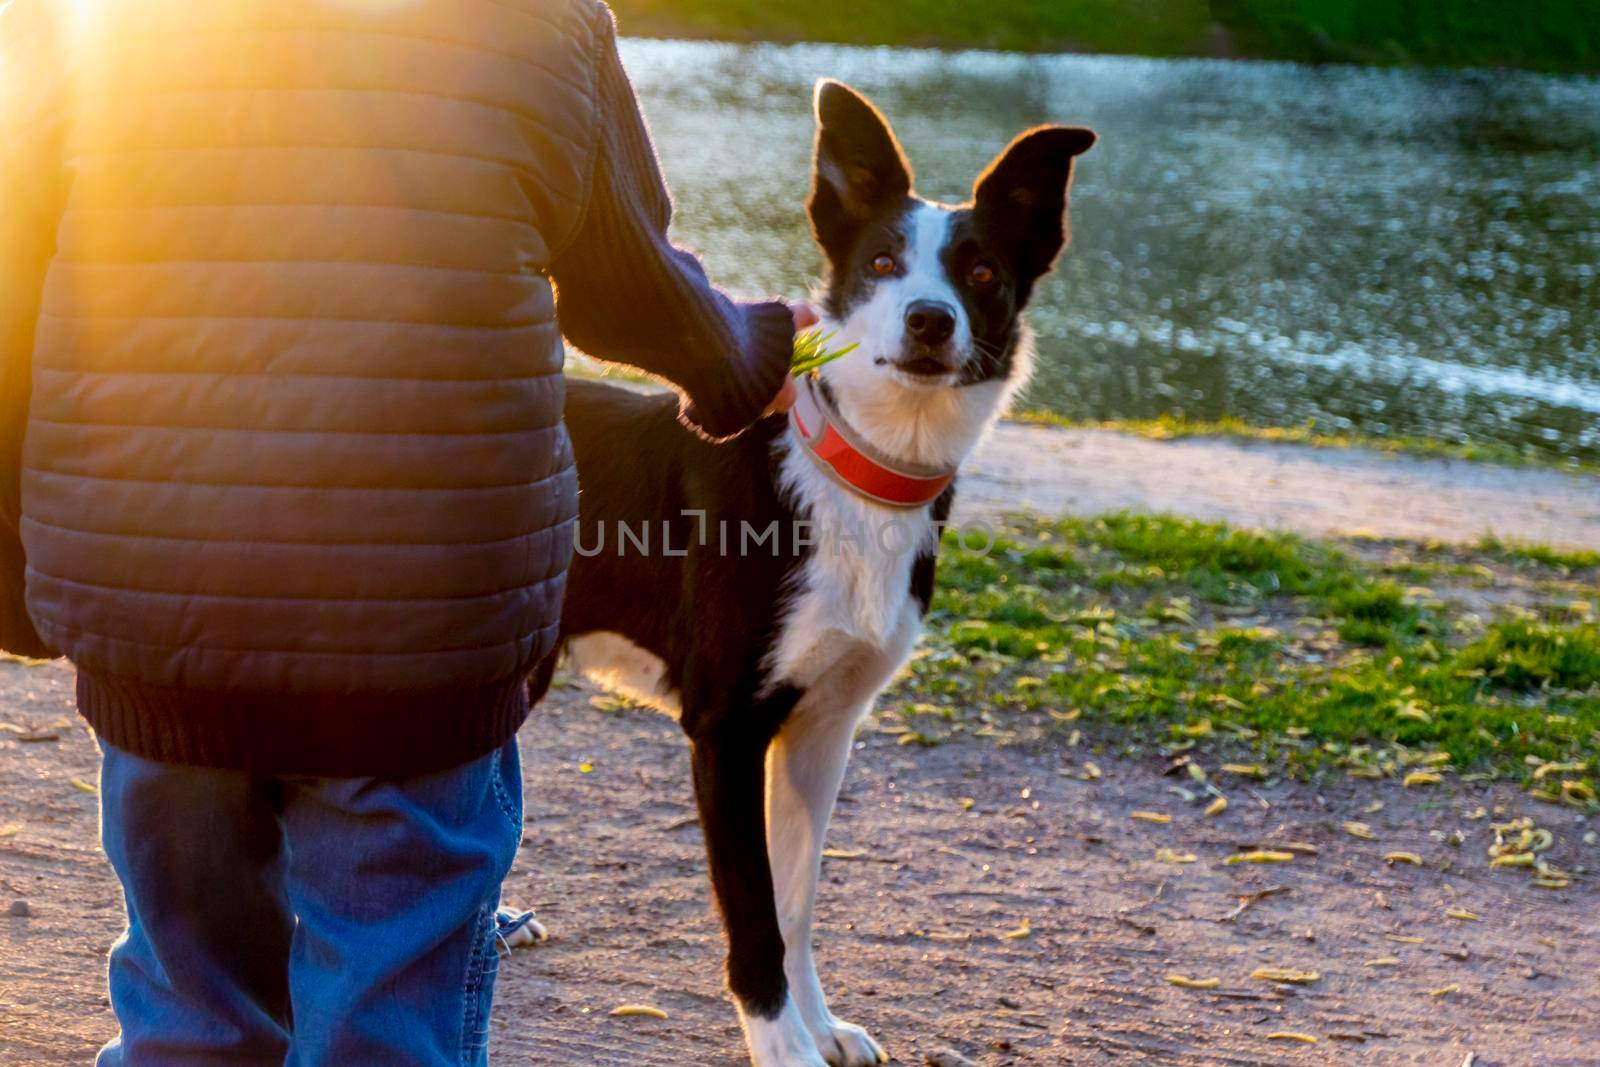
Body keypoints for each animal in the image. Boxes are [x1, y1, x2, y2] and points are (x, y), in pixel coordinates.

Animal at [531, 79, 1094, 1062]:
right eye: (882, 261)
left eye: (982, 273)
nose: (928, 318)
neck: (857, 477)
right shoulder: (724, 731)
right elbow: (755, 916)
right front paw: (781, 1044)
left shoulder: (824, 731)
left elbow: (795, 905)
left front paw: (819, 1025)